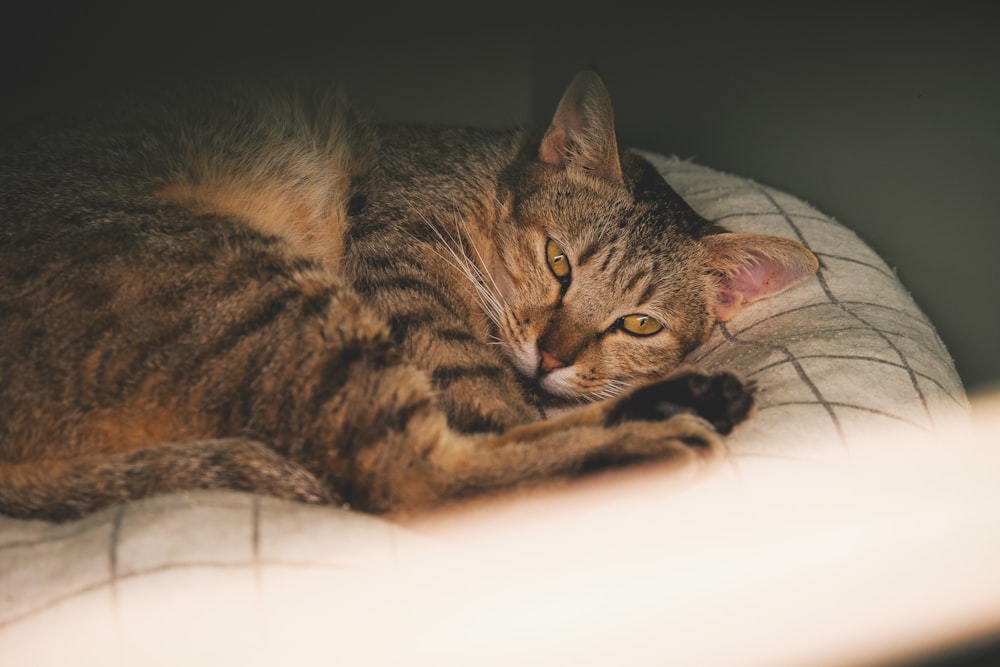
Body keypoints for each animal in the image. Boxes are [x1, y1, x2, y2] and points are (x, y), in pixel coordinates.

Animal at [0, 72, 820, 520]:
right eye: (558, 262)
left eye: (640, 323)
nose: (552, 356)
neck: (486, 175)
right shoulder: (402, 259)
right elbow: (490, 403)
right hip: (266, 296)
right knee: (417, 475)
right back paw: (656, 438)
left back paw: (690, 400)